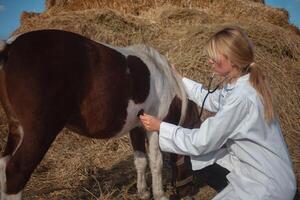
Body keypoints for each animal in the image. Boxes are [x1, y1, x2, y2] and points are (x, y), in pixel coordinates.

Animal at [0, 29, 199, 200]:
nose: (189, 192)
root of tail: (10, 47)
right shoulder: (154, 126)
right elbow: (156, 161)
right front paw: (160, 194)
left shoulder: (136, 128)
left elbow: (141, 161)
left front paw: (143, 192)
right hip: (40, 132)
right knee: (16, 171)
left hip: (18, 129)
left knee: (3, 164)